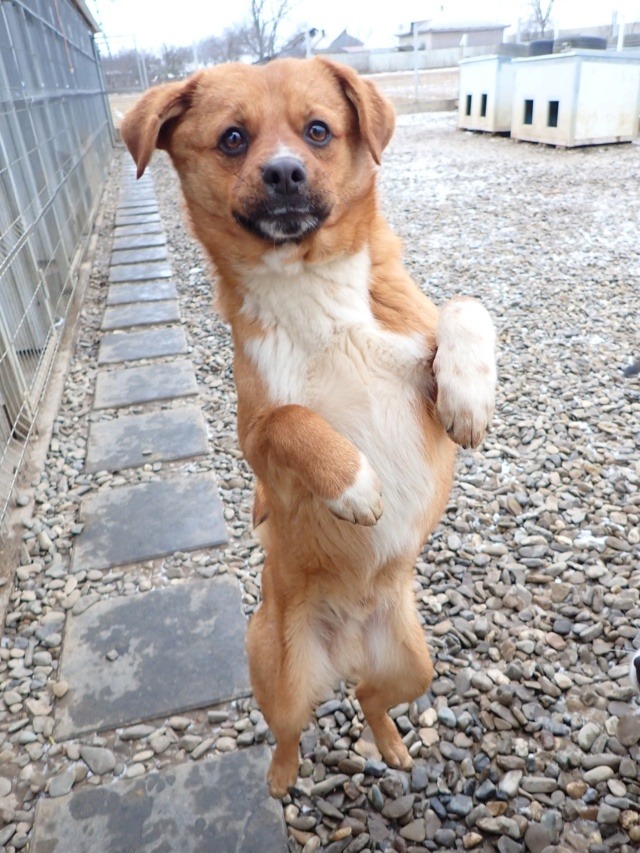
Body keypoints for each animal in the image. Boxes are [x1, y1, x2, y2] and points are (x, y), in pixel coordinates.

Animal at [121, 57, 497, 798]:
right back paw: (279, 778)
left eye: (318, 130)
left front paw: (469, 394)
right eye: (233, 138)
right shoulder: (258, 445)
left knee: (372, 699)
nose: (285, 173)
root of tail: (347, 644)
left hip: (415, 665)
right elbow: (293, 419)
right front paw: (355, 486)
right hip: (279, 674)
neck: (311, 290)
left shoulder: (416, 358)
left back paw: (392, 746)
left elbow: (466, 308)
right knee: (290, 729)